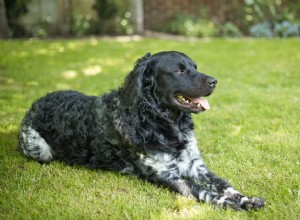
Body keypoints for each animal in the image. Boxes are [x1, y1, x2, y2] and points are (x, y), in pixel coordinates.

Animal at [18, 50, 264, 211]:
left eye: (195, 67)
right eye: (179, 70)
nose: (214, 81)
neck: (162, 124)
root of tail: (36, 103)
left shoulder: (196, 166)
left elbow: (224, 184)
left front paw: (245, 199)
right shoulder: (166, 175)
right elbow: (200, 190)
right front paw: (227, 203)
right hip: (40, 151)